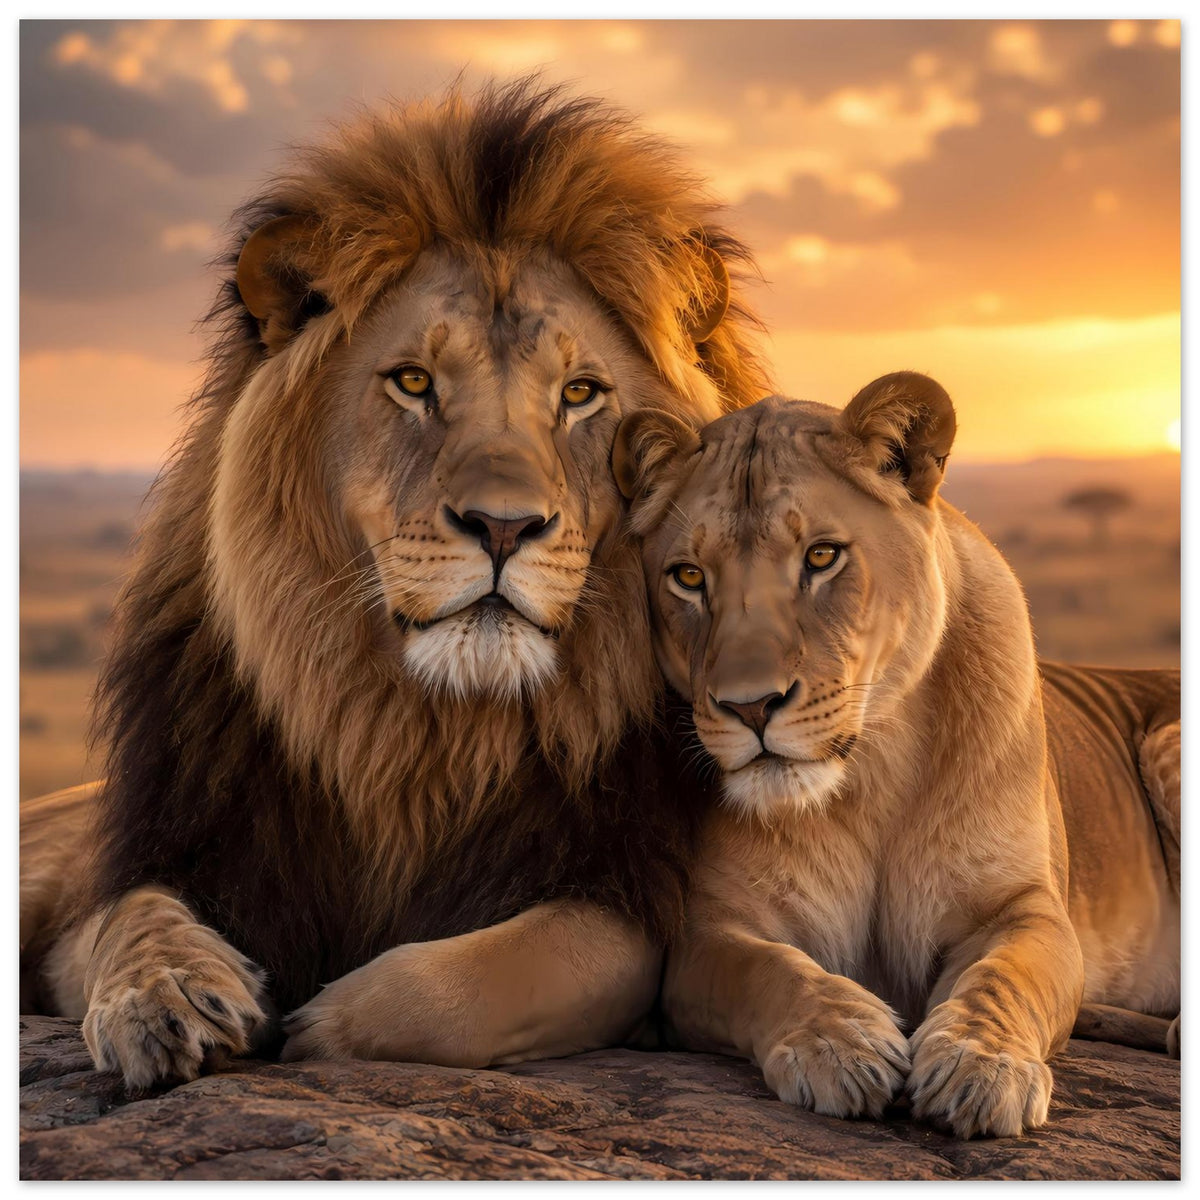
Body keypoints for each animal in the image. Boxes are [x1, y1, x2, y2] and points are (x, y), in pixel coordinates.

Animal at [18, 79, 773, 1090]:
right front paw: (166, 997)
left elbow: (486, 978)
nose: (504, 526)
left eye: (580, 394)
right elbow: (126, 918)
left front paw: (318, 1025)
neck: (417, 738)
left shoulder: (625, 899)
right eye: (414, 382)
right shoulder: (154, 857)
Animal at [612, 373, 1180, 1138]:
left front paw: (979, 1065)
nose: (750, 707)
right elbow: (770, 971)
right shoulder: (708, 933)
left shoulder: (1026, 909)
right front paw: (840, 1043)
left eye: (822, 557)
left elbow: (1003, 977)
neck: (870, 775)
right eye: (689, 577)